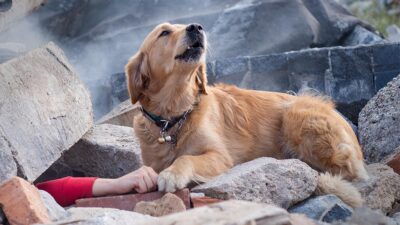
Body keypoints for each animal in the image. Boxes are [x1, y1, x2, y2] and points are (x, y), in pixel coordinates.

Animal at [125, 22, 368, 207]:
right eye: (164, 33)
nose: (196, 27)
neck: (173, 116)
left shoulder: (221, 156)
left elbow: (186, 158)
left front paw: (172, 174)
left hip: (295, 114)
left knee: (344, 173)